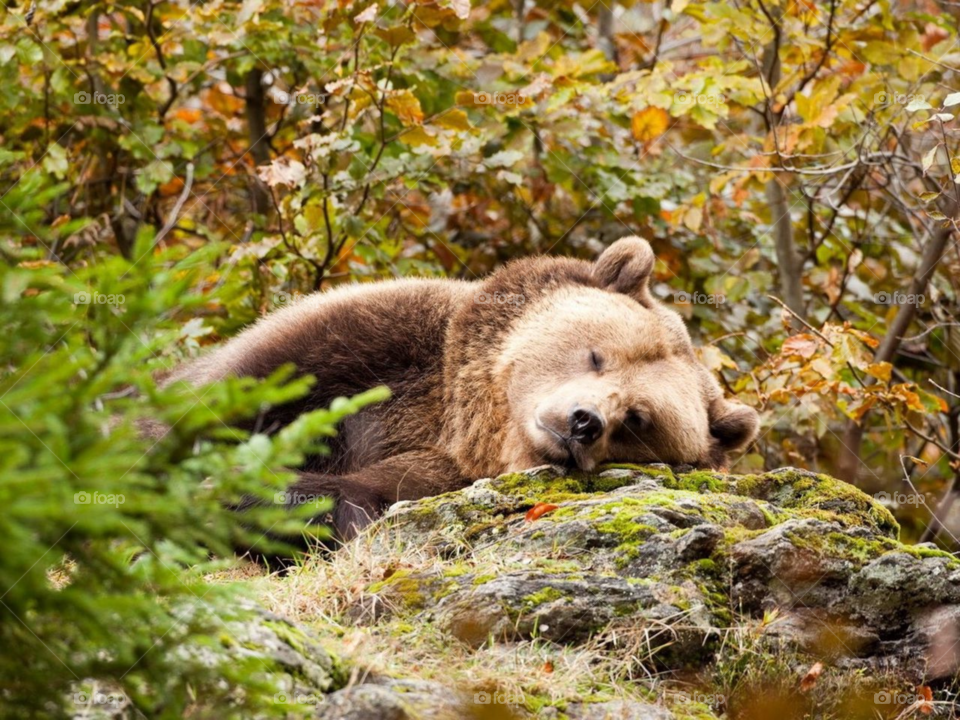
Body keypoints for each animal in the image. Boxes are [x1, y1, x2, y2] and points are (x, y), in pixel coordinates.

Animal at [168, 236, 759, 539]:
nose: (583, 422)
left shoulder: (442, 472)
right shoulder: (375, 340)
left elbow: (356, 495)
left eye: (638, 419)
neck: (461, 416)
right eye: (598, 355)